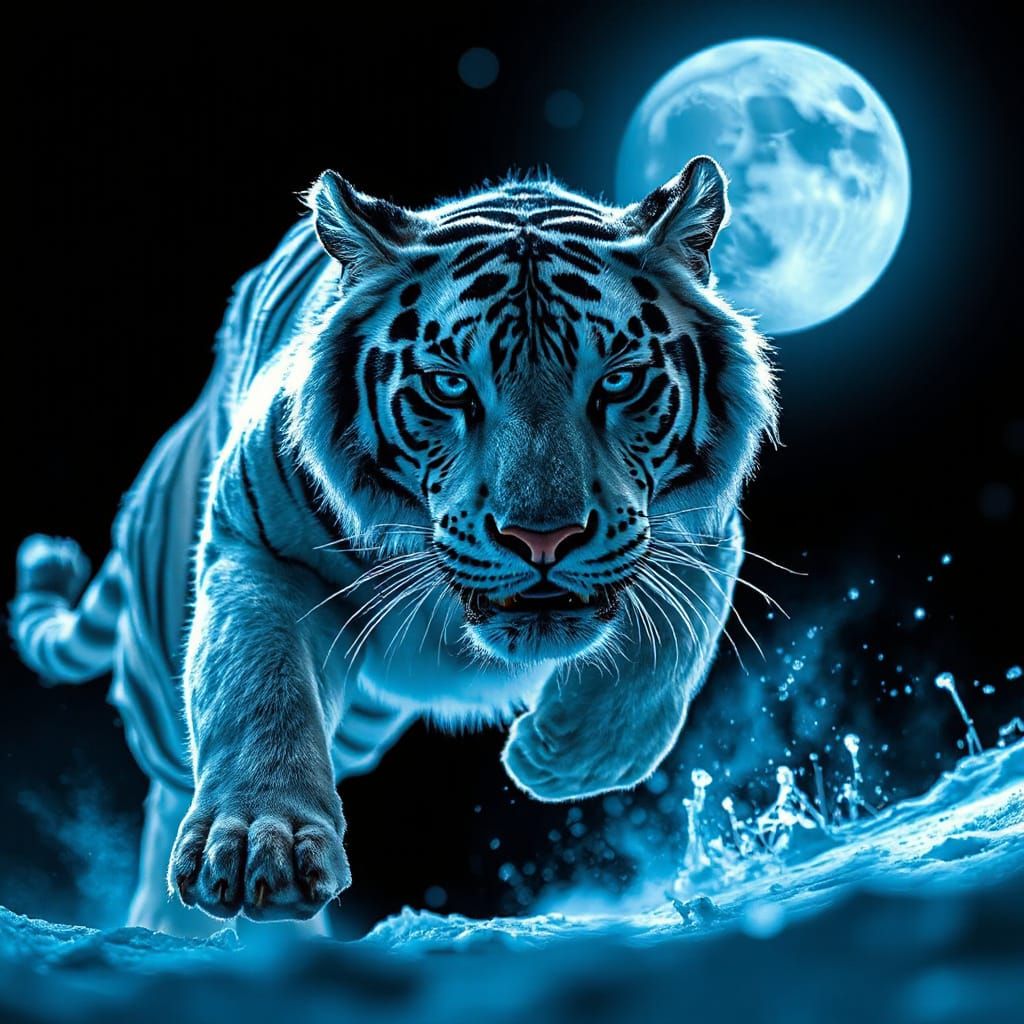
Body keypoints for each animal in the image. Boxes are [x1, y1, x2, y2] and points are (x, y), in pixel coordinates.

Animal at [10, 156, 776, 935]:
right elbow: (257, 689)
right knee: (173, 779)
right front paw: (261, 842)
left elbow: (670, 643)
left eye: (618, 380)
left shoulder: (702, 530)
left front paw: (566, 756)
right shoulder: (258, 552)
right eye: (449, 386)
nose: (543, 538)